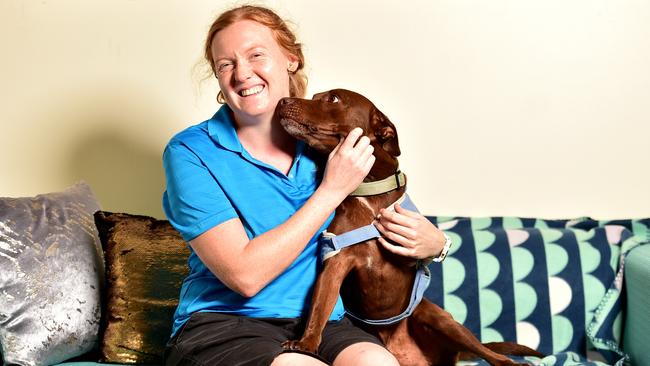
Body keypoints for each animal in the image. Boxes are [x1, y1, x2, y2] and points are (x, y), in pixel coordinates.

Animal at [274, 88, 540, 366]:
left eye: (333, 99)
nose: (283, 101)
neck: (368, 191)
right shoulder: (336, 263)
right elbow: (319, 307)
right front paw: (306, 343)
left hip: (441, 320)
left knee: (491, 354)